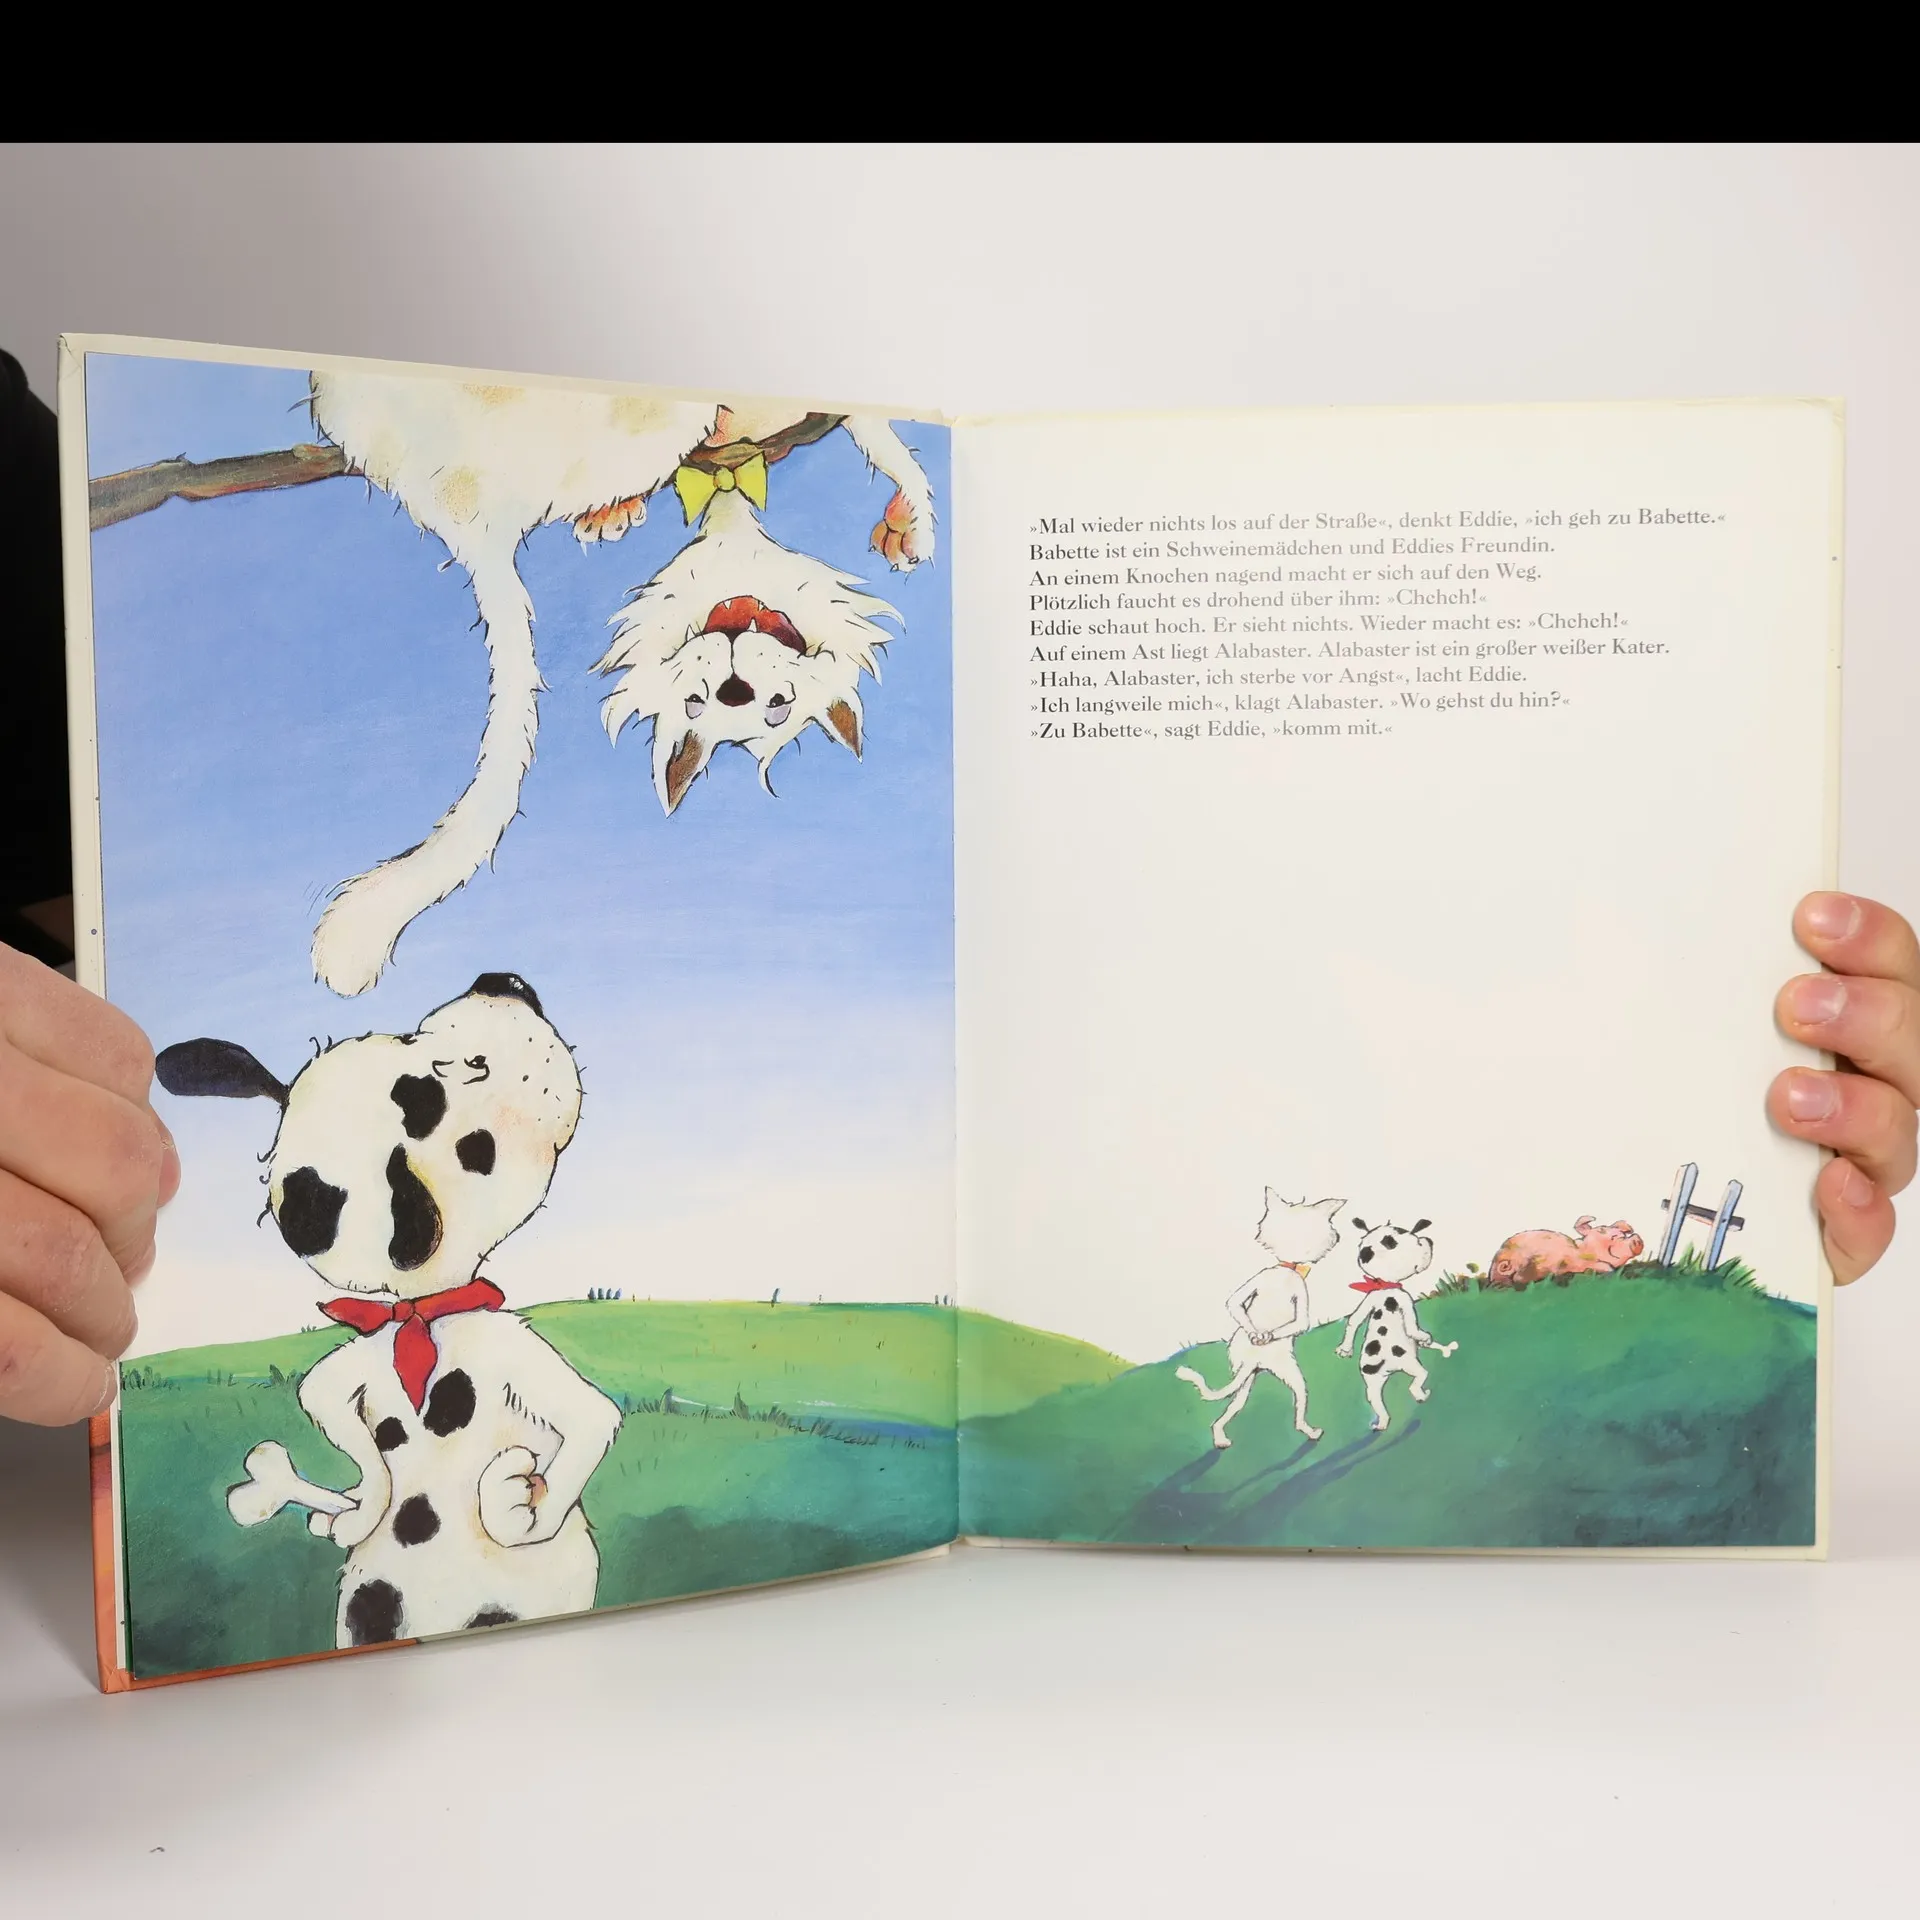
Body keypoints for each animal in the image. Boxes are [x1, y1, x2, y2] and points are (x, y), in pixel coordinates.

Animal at [155, 973, 623, 1648]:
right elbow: (589, 1419)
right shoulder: (490, 1343)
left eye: (407, 1035)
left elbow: (589, 1422)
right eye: (465, 1069)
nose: (505, 983)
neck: (420, 1311)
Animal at [1334, 1217, 1458, 1432]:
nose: (1429, 1240)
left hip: (1372, 1383)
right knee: (1418, 1378)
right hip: (1410, 1364)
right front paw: (1426, 1338)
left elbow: (1354, 1319)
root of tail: (1386, 1363)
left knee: (1376, 1401)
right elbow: (1413, 1327)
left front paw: (1345, 1349)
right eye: (1416, 1240)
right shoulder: (1405, 1302)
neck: (1385, 1285)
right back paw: (1421, 1395)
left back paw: (1382, 1423)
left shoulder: (1369, 1298)